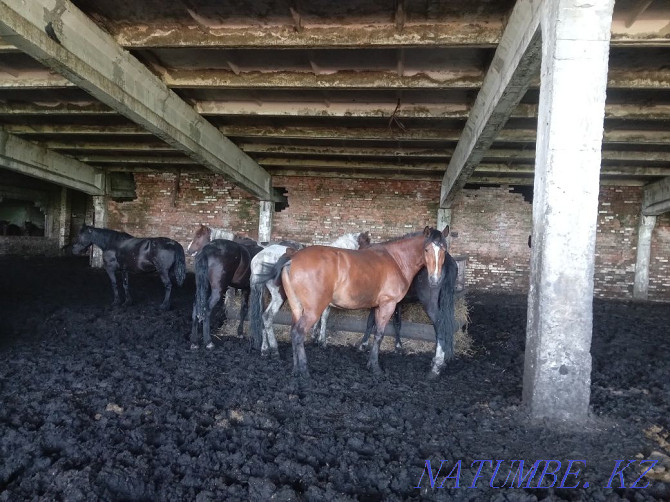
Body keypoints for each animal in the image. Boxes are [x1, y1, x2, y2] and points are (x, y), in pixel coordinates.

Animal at [260, 226, 448, 378]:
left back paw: (295, 369)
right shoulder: (388, 304)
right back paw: (304, 371)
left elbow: (373, 330)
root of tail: (292, 258)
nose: (435, 280)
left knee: (292, 331)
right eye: (426, 249)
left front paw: (370, 362)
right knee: (298, 333)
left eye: (444, 250)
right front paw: (376, 367)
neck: (396, 259)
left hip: (296, 307)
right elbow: (379, 334)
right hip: (313, 310)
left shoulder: (377, 306)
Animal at [360, 229, 460, 378]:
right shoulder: (396, 302)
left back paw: (436, 366)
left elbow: (370, 321)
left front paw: (363, 344)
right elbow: (397, 323)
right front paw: (398, 347)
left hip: (430, 304)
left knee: (439, 325)